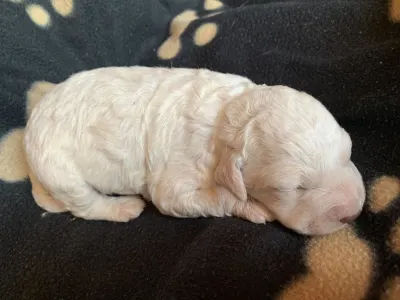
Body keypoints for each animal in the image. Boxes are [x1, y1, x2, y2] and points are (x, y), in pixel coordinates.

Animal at [22, 67, 366, 236]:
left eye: (348, 153)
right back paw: (123, 207)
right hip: (61, 170)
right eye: (291, 188)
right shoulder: (174, 180)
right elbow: (201, 197)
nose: (354, 213)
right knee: (85, 205)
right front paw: (252, 207)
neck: (227, 117)